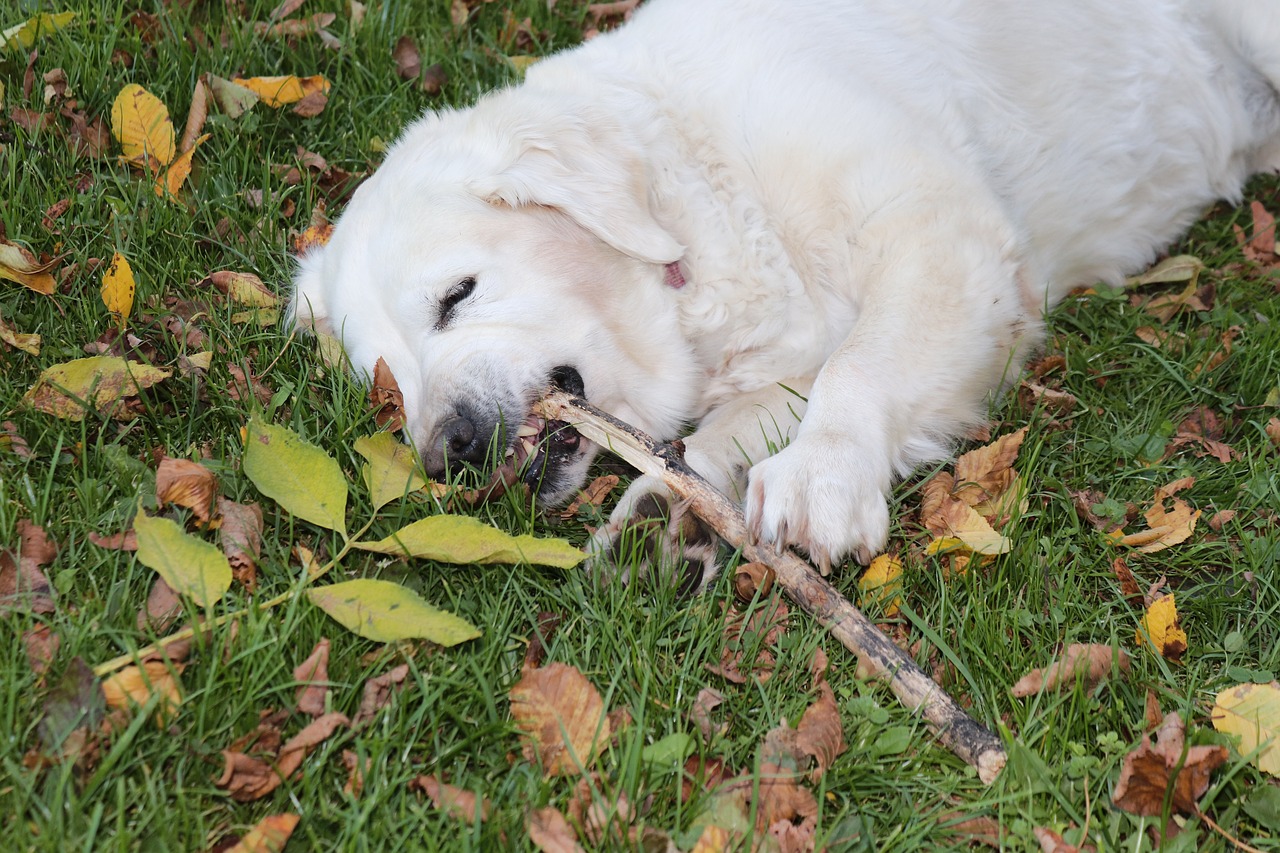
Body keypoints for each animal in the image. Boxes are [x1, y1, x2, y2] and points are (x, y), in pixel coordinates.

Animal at [290, 0, 1280, 584]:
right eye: (389, 389)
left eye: (458, 295)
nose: (447, 451)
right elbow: (732, 426)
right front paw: (670, 511)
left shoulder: (943, 231)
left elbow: (860, 369)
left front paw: (821, 477)